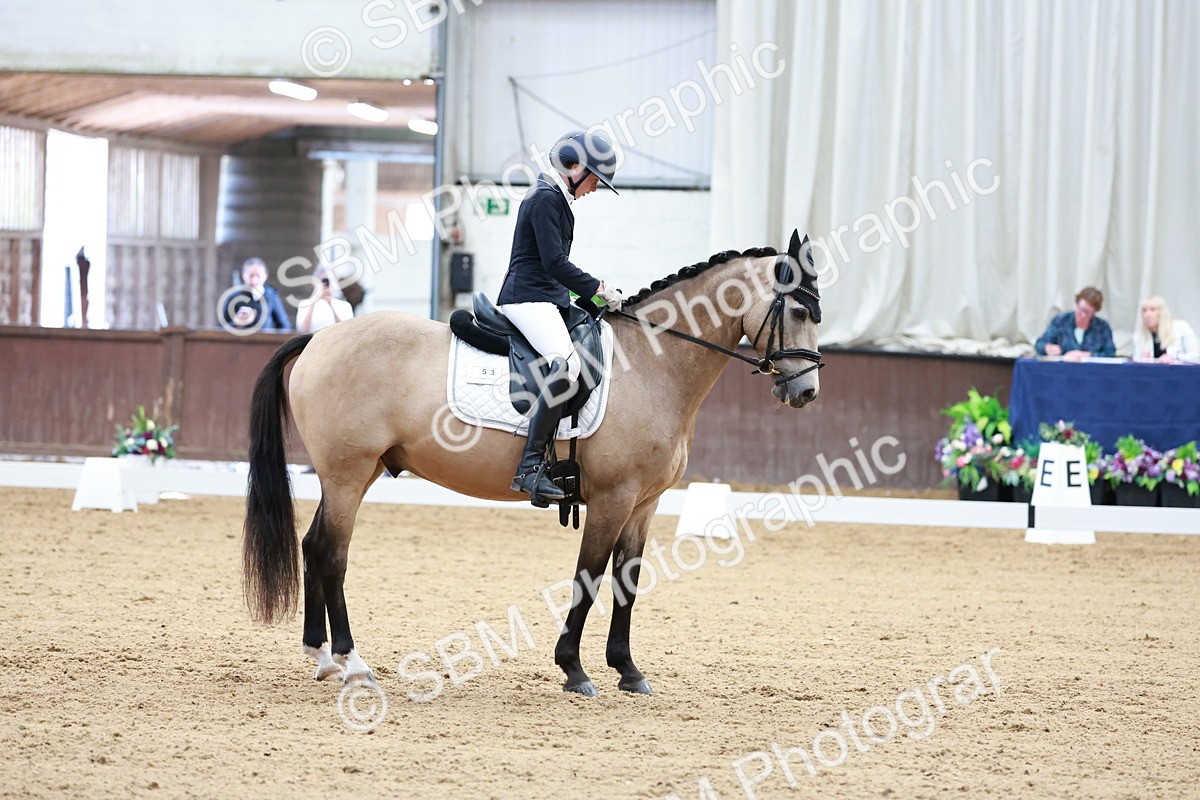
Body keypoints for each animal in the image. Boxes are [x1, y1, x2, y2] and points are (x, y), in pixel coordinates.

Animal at [242, 230, 823, 697]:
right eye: (798, 312)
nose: (806, 392)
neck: (652, 364)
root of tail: (319, 337)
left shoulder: (645, 503)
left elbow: (627, 580)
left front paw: (628, 671)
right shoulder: (612, 498)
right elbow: (590, 577)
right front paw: (574, 671)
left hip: (350, 475)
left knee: (314, 546)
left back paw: (322, 658)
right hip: (348, 473)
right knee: (332, 554)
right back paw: (352, 662)